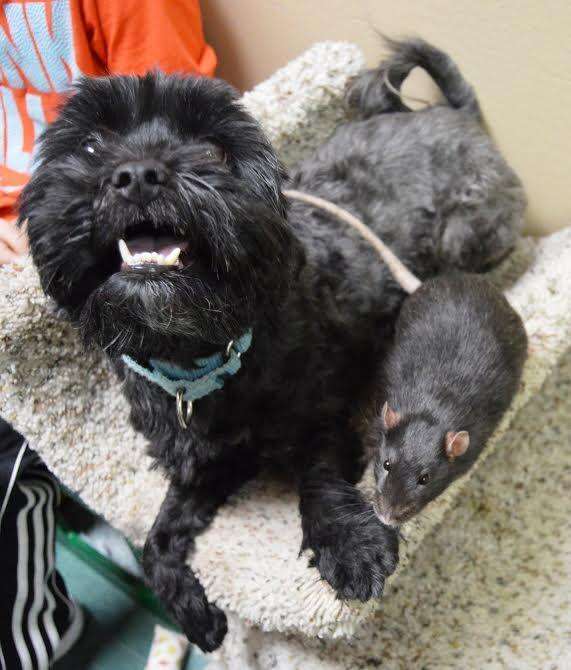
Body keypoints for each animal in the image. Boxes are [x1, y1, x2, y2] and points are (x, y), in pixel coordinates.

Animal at [21, 39, 524, 652]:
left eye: (213, 149)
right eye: (91, 144)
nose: (137, 174)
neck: (199, 361)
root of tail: (459, 115)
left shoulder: (324, 419)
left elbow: (321, 479)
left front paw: (350, 547)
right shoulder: (203, 466)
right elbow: (155, 540)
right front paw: (192, 610)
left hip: (465, 235)